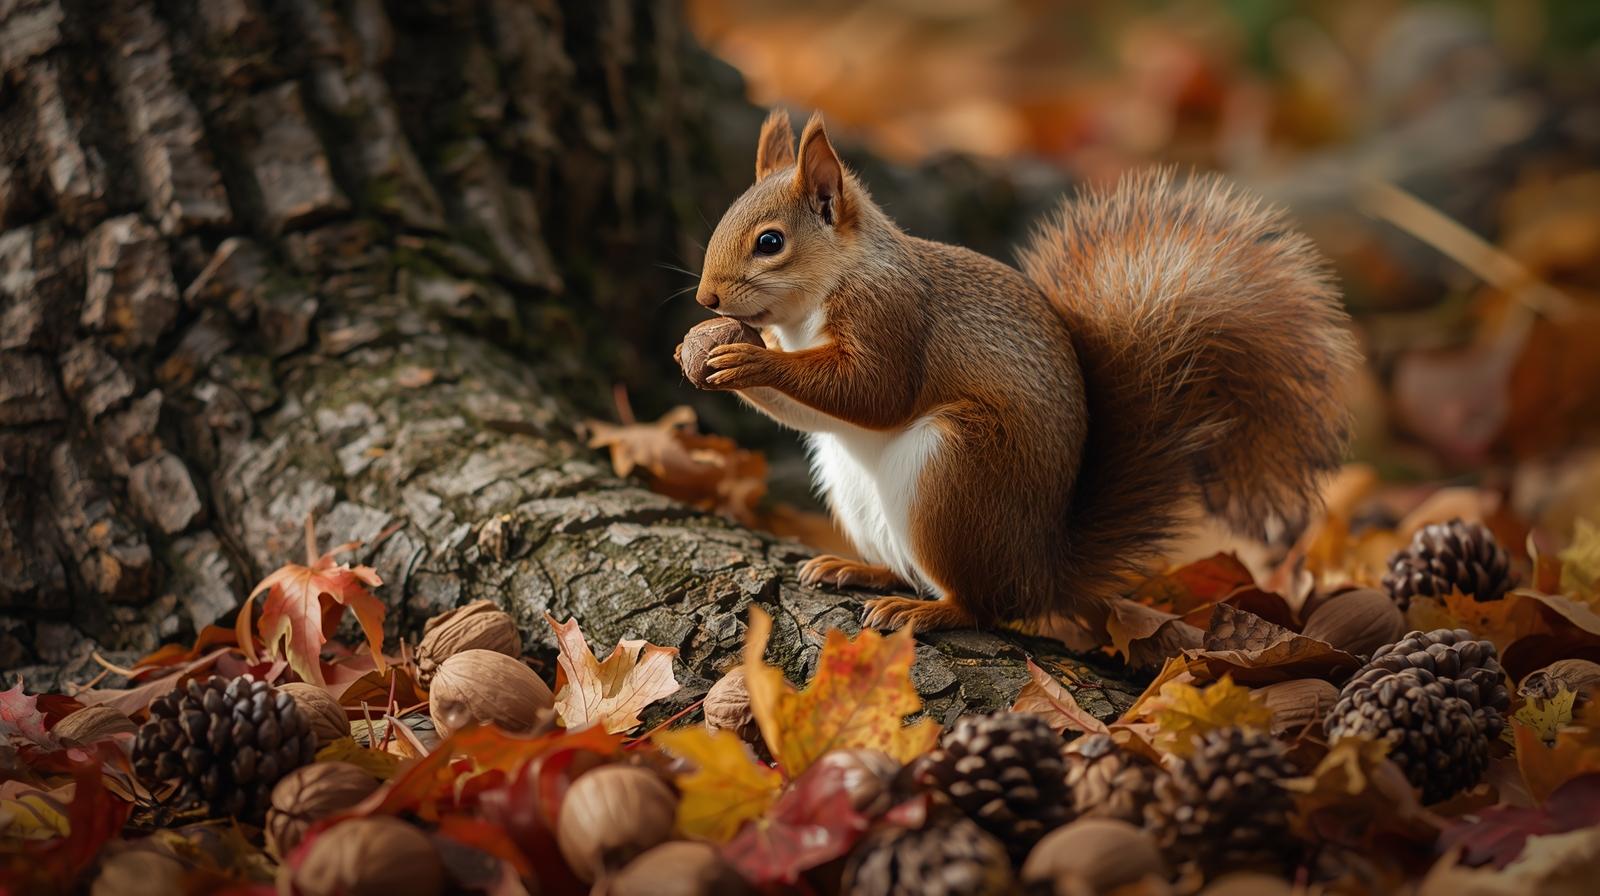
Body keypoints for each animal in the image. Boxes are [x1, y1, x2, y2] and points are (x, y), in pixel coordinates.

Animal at [684, 109, 1359, 633]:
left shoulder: (891, 316)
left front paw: (750, 356)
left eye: (770, 242)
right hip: (856, 487)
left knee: (982, 605)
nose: (706, 300)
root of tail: (1042, 571)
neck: (822, 294)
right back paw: (858, 568)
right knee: (912, 570)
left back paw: (929, 611)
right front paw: (703, 349)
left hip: (959, 471)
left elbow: (875, 393)